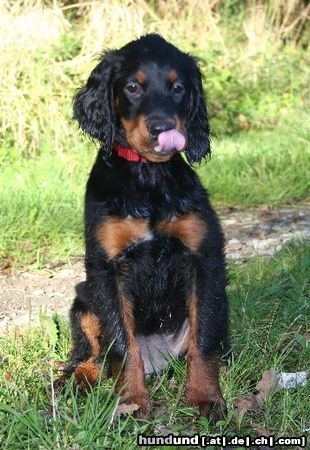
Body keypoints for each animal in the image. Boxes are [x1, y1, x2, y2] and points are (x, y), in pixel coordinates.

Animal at [65, 32, 229, 418]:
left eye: (178, 88)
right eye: (133, 87)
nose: (163, 128)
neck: (149, 177)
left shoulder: (204, 259)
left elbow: (204, 337)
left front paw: (205, 397)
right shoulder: (106, 269)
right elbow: (123, 345)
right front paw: (132, 402)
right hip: (83, 301)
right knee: (91, 356)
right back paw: (79, 380)